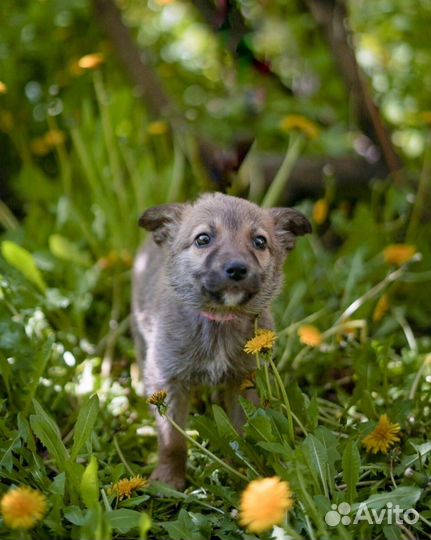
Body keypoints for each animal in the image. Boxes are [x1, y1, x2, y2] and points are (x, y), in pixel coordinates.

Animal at [132, 192, 310, 488]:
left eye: (260, 242)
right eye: (203, 239)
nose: (237, 269)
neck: (220, 320)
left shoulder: (245, 381)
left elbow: (241, 431)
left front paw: (241, 469)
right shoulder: (168, 381)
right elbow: (172, 439)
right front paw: (168, 479)